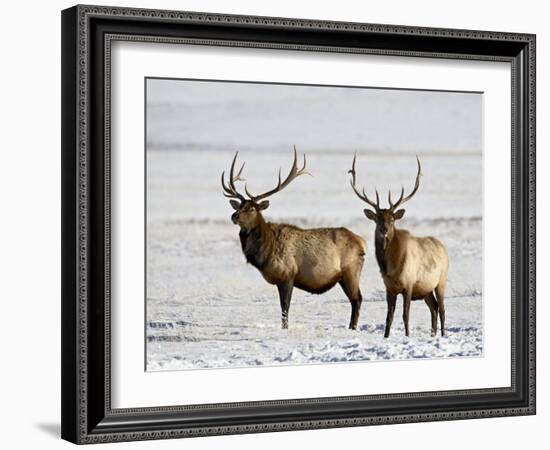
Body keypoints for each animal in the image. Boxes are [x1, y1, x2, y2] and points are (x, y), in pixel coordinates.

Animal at [222, 149, 368, 330]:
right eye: (239, 206)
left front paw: (284, 328)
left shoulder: (287, 275)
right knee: (355, 300)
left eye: (252, 209)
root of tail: (362, 242)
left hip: (351, 271)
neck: (265, 252)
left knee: (357, 299)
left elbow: (285, 307)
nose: (234, 216)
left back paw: (352, 328)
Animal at [352, 155, 450, 338]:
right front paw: (386, 336)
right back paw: (432, 334)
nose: (384, 229)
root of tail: (443, 247)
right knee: (433, 307)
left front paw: (407, 336)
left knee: (442, 308)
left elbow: (405, 314)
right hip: (426, 288)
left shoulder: (409, 284)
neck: (392, 267)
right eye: (377, 218)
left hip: (441, 280)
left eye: (392, 219)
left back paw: (442, 334)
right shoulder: (389, 287)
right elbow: (389, 316)